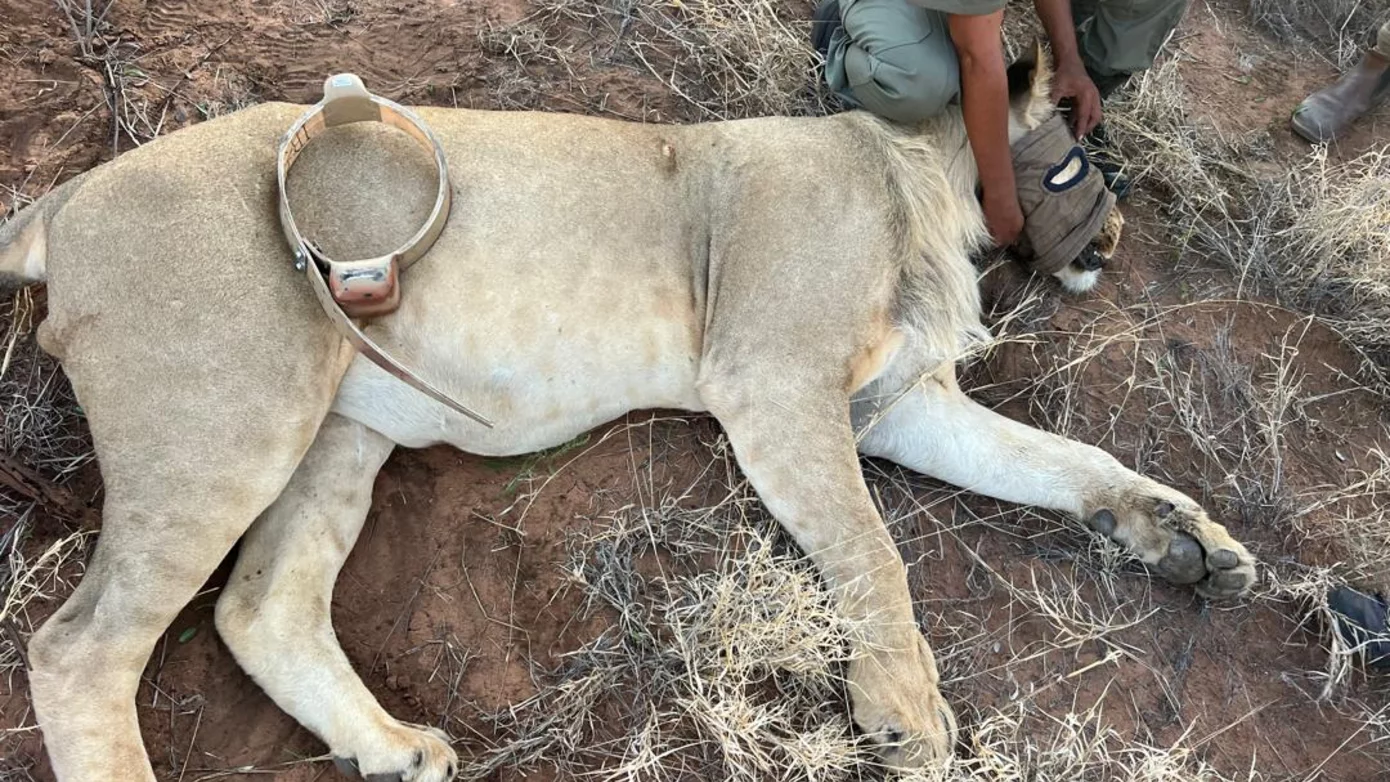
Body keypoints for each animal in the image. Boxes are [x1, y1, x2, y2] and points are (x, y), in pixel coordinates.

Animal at [0, 49, 1254, 780]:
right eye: (1086, 156)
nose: (1118, 239)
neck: (923, 184)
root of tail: (64, 194)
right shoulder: (771, 380)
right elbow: (873, 547)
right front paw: (904, 709)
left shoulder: (890, 403)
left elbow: (1063, 454)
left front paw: (1186, 537)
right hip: (230, 414)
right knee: (79, 647)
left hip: (343, 421)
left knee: (262, 605)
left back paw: (397, 748)